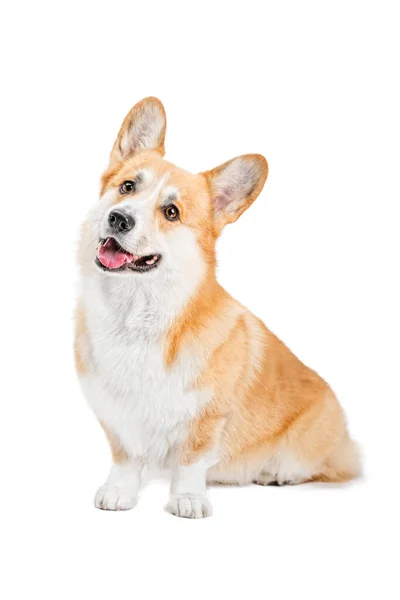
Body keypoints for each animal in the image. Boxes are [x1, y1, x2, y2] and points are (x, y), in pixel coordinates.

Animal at [74, 96, 360, 516]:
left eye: (171, 212)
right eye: (127, 187)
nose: (119, 218)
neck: (136, 312)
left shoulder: (206, 416)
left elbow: (191, 459)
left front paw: (188, 499)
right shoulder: (114, 413)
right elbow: (125, 455)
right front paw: (120, 492)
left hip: (311, 442)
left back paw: (275, 472)